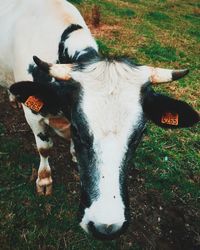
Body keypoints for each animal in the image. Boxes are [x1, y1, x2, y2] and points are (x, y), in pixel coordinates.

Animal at [0, 0, 199, 239]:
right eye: (78, 129)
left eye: (140, 134)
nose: (107, 226)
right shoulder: (33, 115)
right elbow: (44, 148)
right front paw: (45, 180)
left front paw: (74, 156)